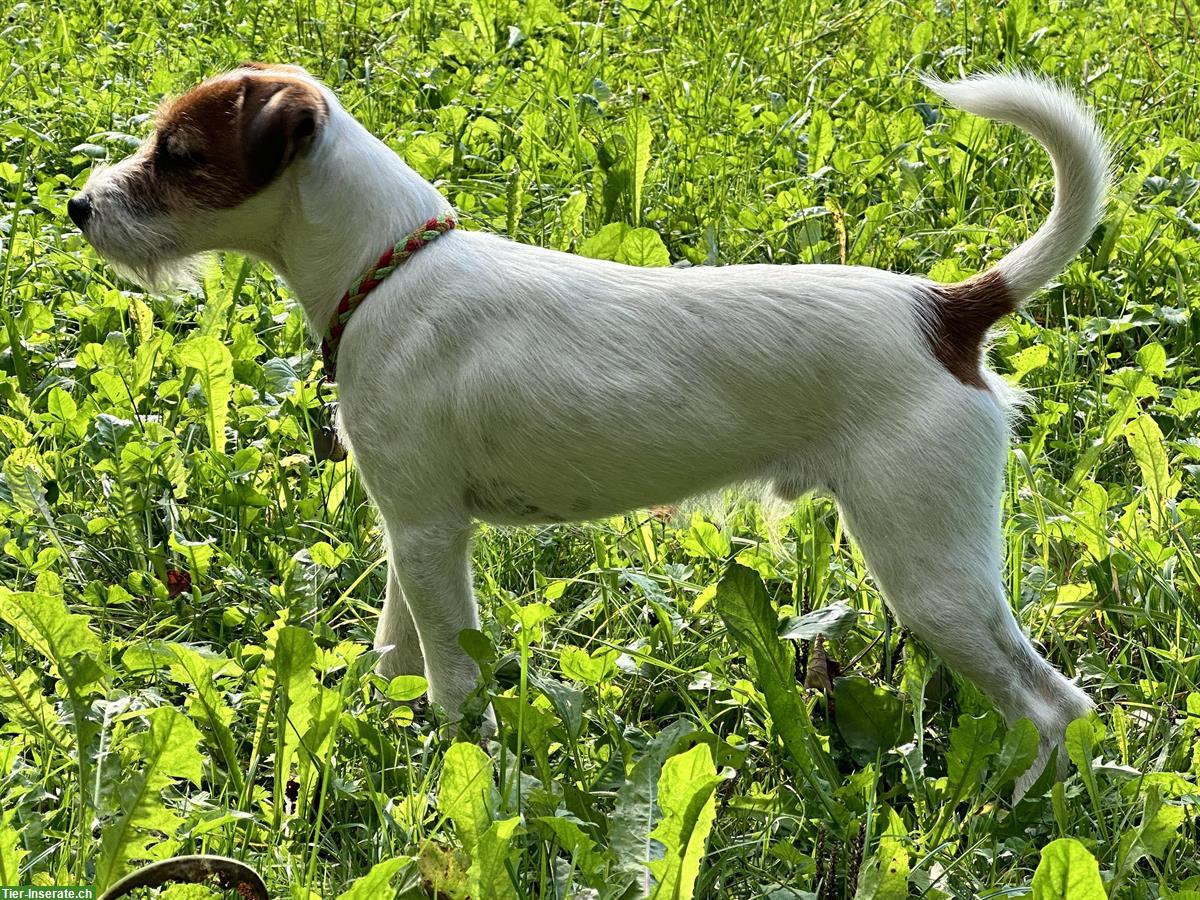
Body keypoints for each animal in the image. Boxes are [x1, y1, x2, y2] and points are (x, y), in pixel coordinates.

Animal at [72, 63, 1104, 796]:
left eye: (179, 155)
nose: (79, 206)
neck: (390, 270)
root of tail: (948, 312)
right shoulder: (409, 527)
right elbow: (398, 651)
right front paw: (393, 733)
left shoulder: (433, 535)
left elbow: (453, 680)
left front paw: (463, 771)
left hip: (926, 571)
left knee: (1055, 705)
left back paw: (1007, 809)